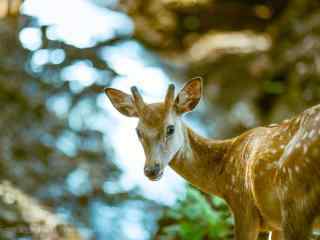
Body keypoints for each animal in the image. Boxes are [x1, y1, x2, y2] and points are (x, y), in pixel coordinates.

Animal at [104, 78, 320, 239]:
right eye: (138, 131)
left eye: (170, 128)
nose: (151, 169)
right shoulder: (274, 224)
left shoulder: (243, 205)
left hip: (294, 200)